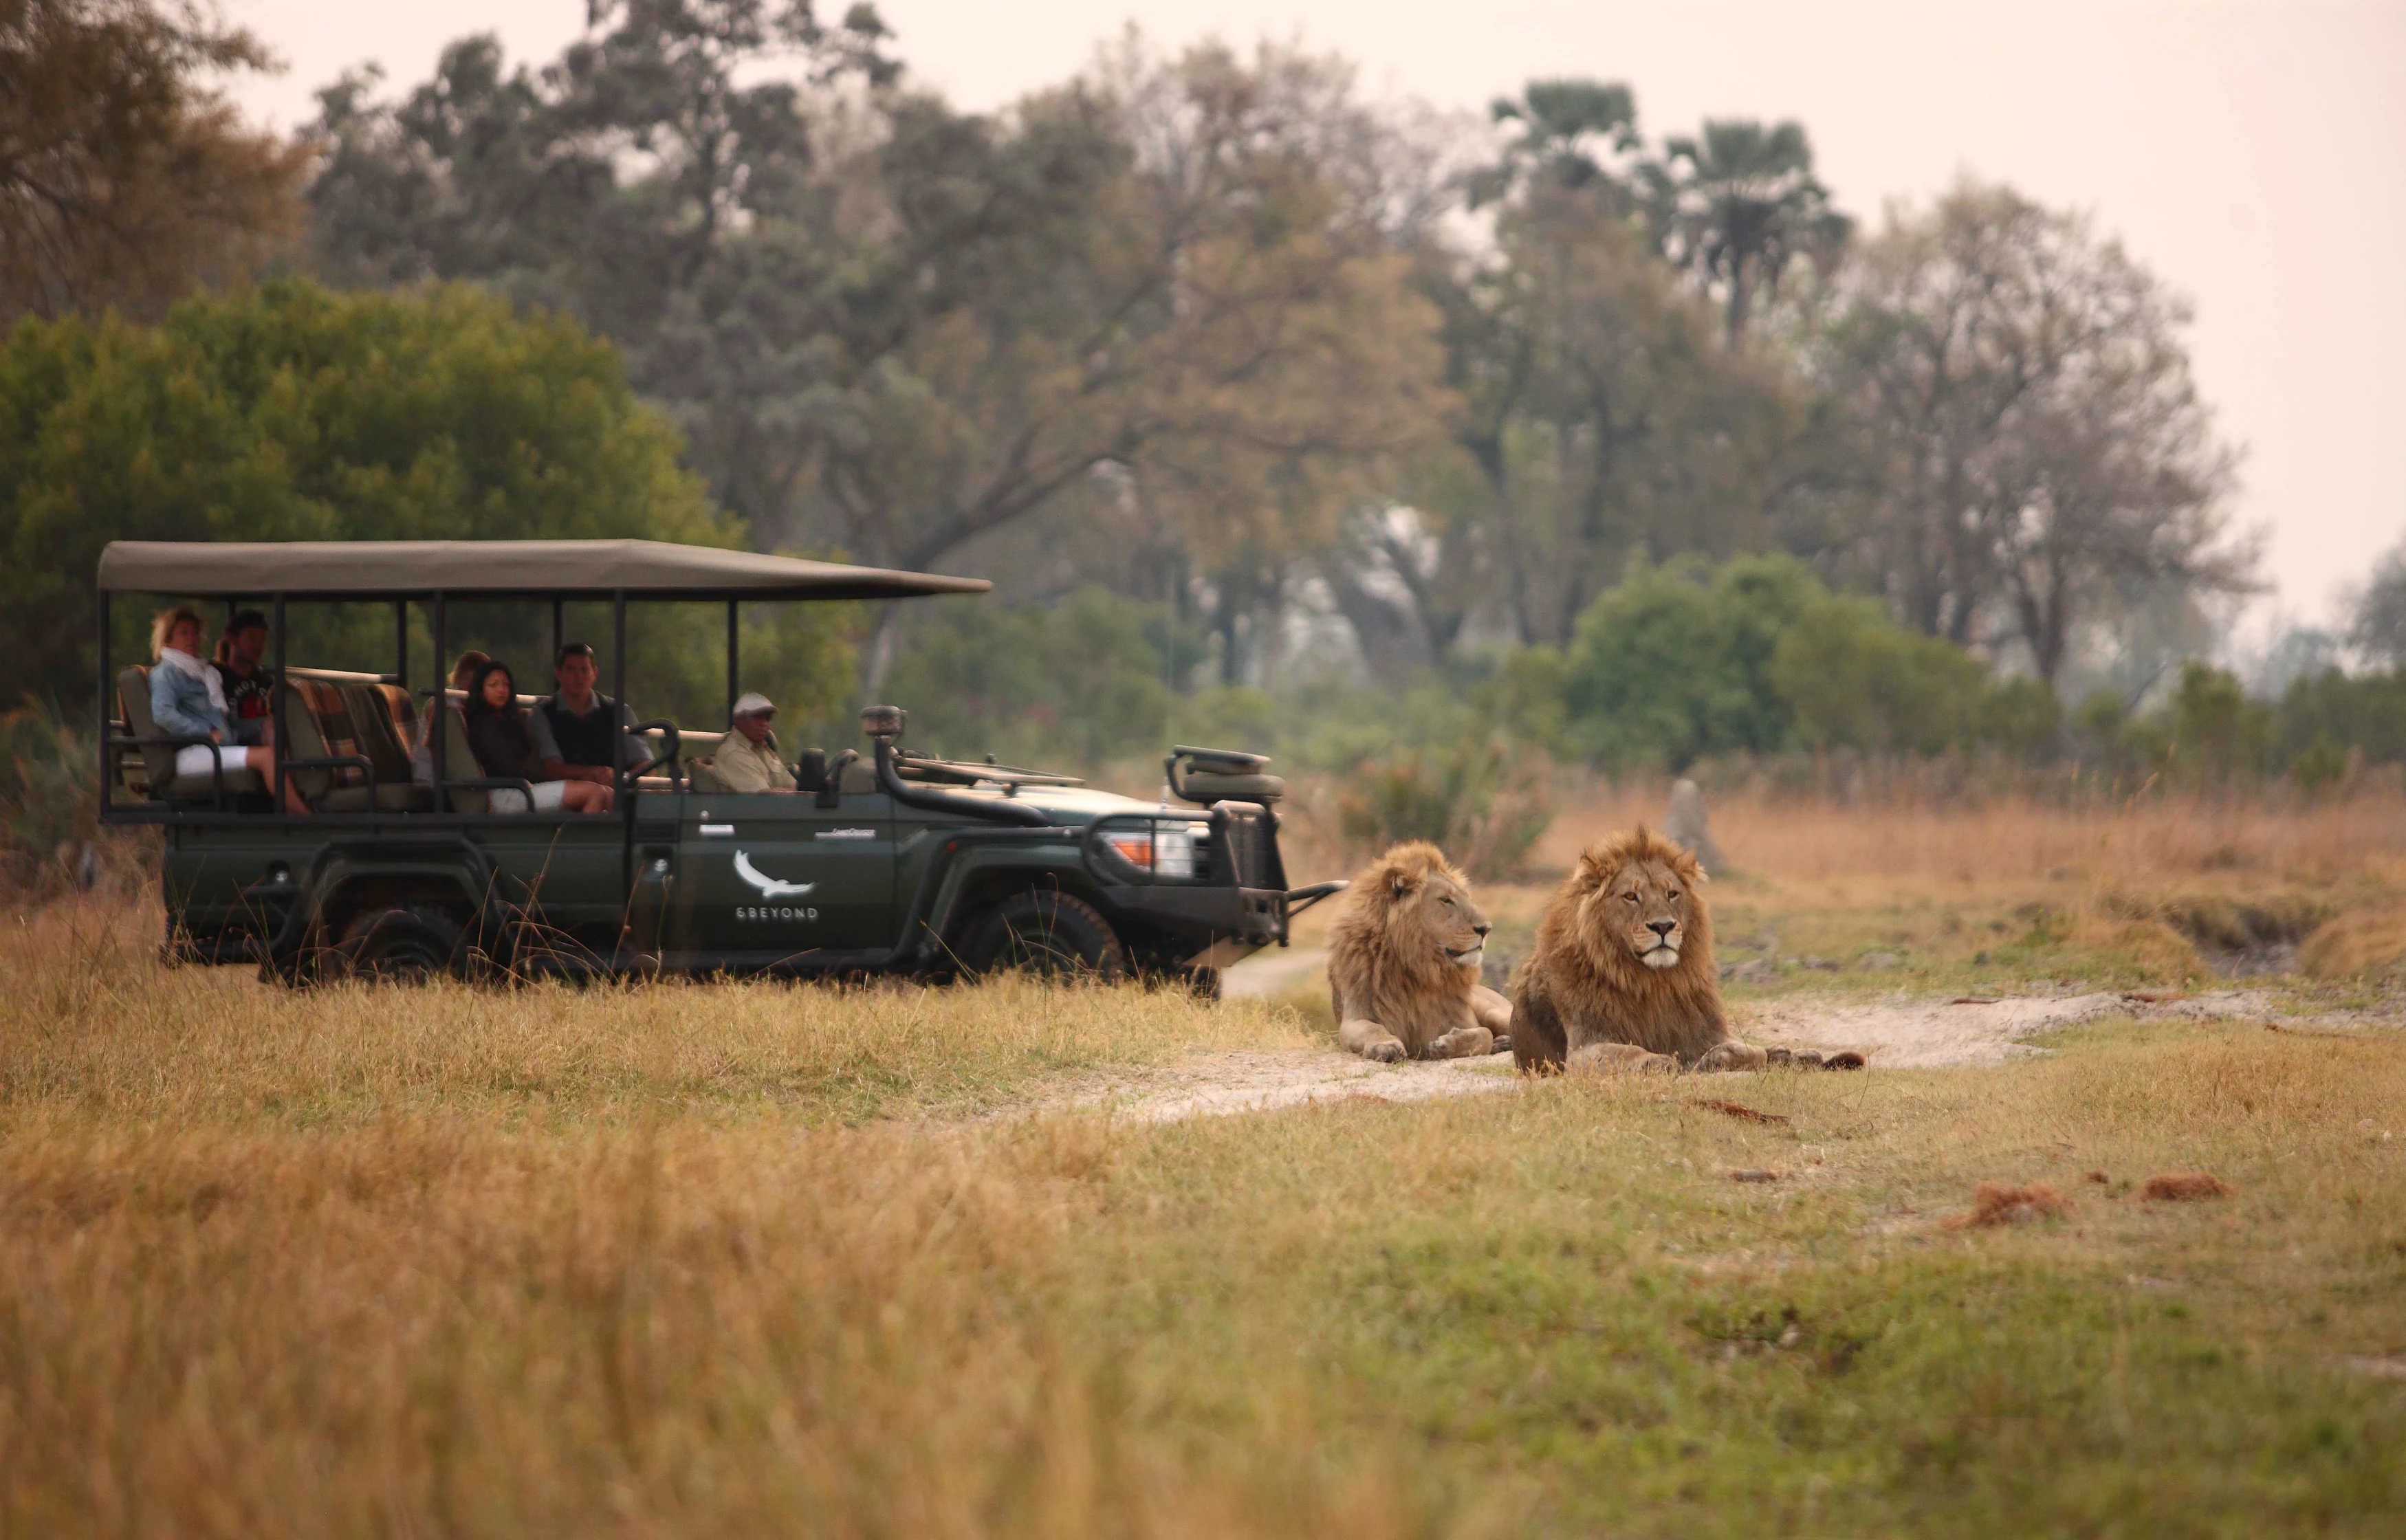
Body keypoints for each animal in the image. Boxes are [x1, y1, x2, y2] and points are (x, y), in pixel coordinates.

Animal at [1327, 842, 1513, 1063]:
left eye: (1467, 897)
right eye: (1446, 900)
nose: (1486, 929)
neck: (1419, 964)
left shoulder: (1461, 1019)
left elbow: (1483, 1034)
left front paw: (1444, 1045)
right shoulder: (1355, 1016)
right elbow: (1372, 1028)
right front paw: (1385, 1045)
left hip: (1492, 1009)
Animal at [1510, 825, 1776, 1075]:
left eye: (1672, 894)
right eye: (1631, 896)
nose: (1663, 926)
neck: (1651, 981)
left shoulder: (1707, 1031)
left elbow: (1755, 1051)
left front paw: (1715, 1057)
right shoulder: (1584, 1045)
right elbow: (1624, 1052)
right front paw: (1656, 1061)